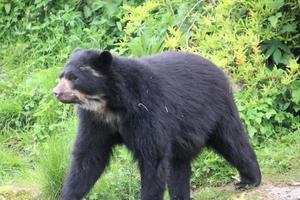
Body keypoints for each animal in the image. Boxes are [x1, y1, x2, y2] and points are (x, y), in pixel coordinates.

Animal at [53, 48, 260, 200]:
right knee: (179, 165)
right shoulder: (95, 121)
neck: (110, 103)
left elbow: (153, 157)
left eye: (74, 77)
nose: (56, 92)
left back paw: (250, 179)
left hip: (217, 109)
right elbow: (88, 157)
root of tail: (218, 69)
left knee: (232, 141)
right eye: (61, 75)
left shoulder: (147, 111)